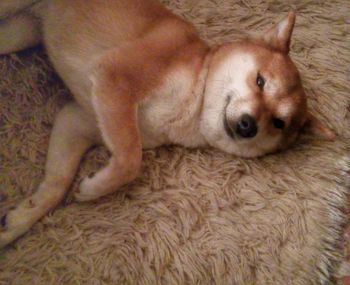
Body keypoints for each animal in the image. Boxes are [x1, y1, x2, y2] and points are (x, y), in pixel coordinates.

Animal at [0, 0, 334, 246]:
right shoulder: (115, 76)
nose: (248, 125)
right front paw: (96, 187)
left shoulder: (79, 120)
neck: (193, 99)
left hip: (18, 33)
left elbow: (57, 182)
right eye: (260, 81)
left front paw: (20, 219)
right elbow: (130, 161)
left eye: (278, 123)